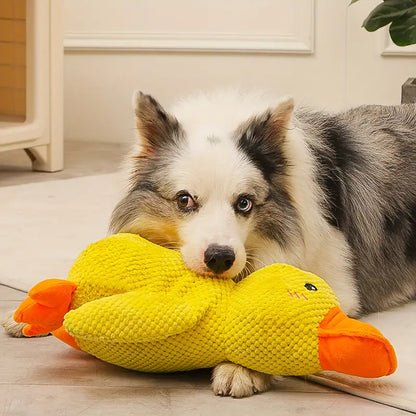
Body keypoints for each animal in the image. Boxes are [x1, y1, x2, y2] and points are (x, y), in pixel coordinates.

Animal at [3, 90, 416, 396]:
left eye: (244, 203)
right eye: (185, 200)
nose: (220, 258)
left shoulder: (340, 286)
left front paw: (241, 369)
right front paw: (33, 310)